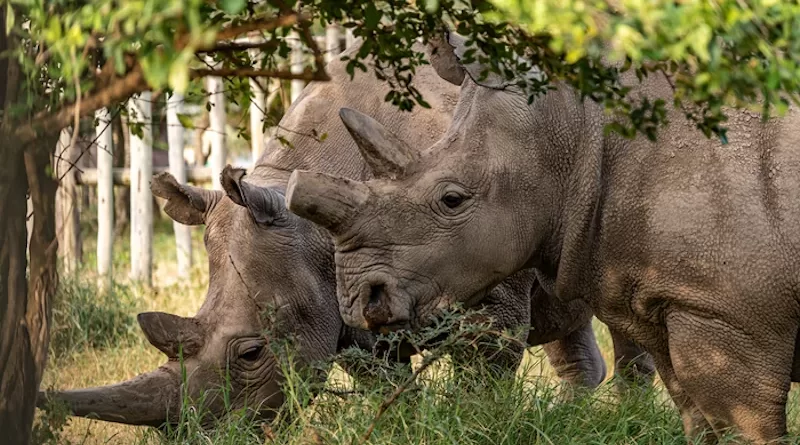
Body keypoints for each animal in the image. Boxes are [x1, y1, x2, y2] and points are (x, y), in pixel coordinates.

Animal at [39, 39, 648, 430]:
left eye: (253, 353)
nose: (205, 436)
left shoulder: (486, 285)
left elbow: (482, 369)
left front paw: (480, 423)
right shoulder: (343, 298)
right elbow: (382, 380)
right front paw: (404, 429)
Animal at [286, 31, 800, 440]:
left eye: (452, 200)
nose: (359, 299)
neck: (573, 127)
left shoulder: (730, 316)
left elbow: (741, 425)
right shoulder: (673, 299)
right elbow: (698, 419)